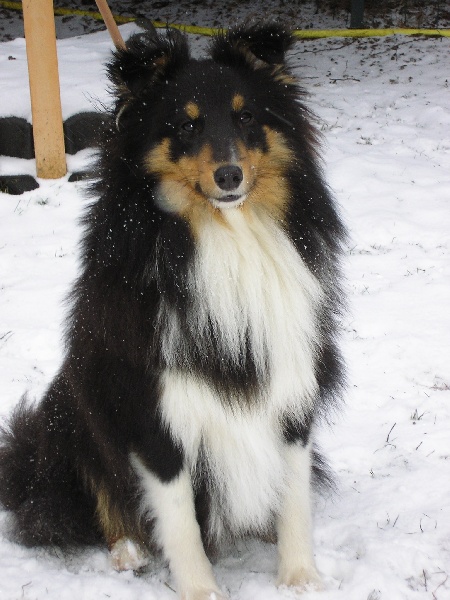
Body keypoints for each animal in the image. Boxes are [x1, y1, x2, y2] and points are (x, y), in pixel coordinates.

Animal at [0, 24, 348, 600]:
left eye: (246, 117)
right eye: (186, 124)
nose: (229, 176)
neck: (226, 236)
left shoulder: (291, 380)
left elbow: (294, 493)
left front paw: (302, 579)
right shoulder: (152, 405)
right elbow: (178, 514)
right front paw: (202, 591)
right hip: (71, 410)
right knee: (94, 495)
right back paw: (126, 550)